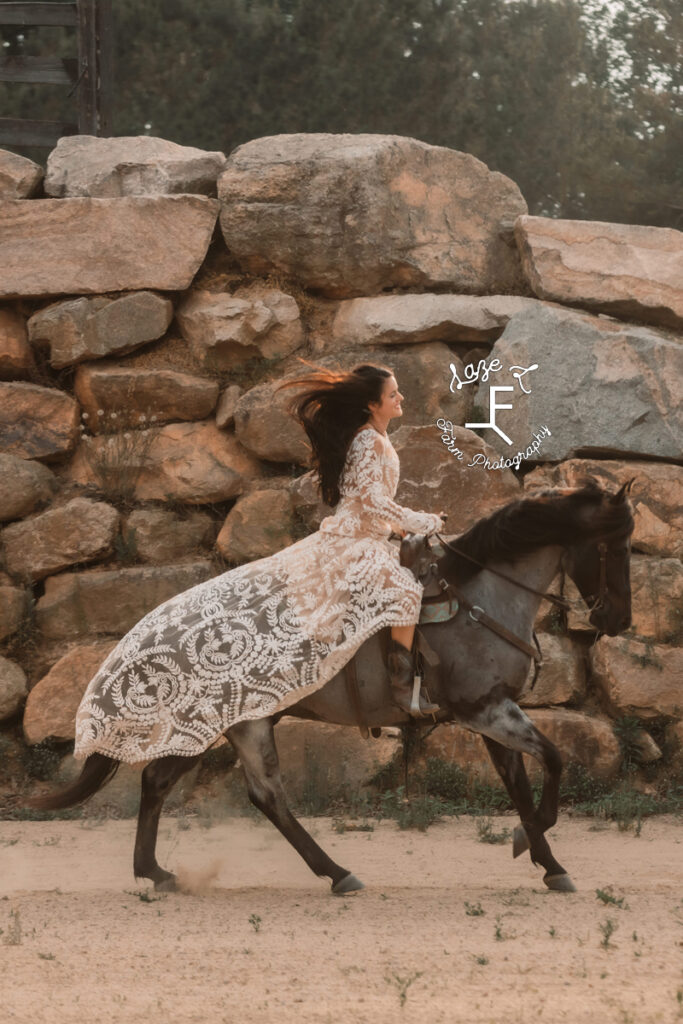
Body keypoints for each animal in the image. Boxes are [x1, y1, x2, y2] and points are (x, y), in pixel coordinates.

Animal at [31, 483, 634, 892]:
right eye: (615, 547)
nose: (620, 619)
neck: (477, 596)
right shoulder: (484, 709)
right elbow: (554, 760)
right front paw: (532, 846)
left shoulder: (491, 714)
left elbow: (522, 784)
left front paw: (546, 862)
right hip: (232, 725)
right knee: (259, 795)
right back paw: (335, 872)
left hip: (228, 726)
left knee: (173, 783)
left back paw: (156, 872)